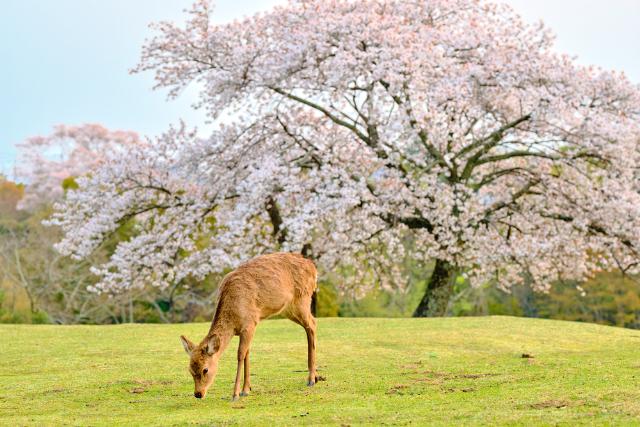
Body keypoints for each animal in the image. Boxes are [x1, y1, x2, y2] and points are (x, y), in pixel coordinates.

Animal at [179, 252, 318, 400]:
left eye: (205, 369)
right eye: (190, 369)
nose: (198, 393)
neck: (233, 320)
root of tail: (313, 268)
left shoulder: (250, 323)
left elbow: (240, 354)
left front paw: (235, 394)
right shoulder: (245, 330)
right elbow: (247, 353)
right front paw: (246, 389)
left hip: (302, 299)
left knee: (312, 324)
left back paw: (311, 379)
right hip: (289, 309)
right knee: (311, 324)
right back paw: (315, 377)